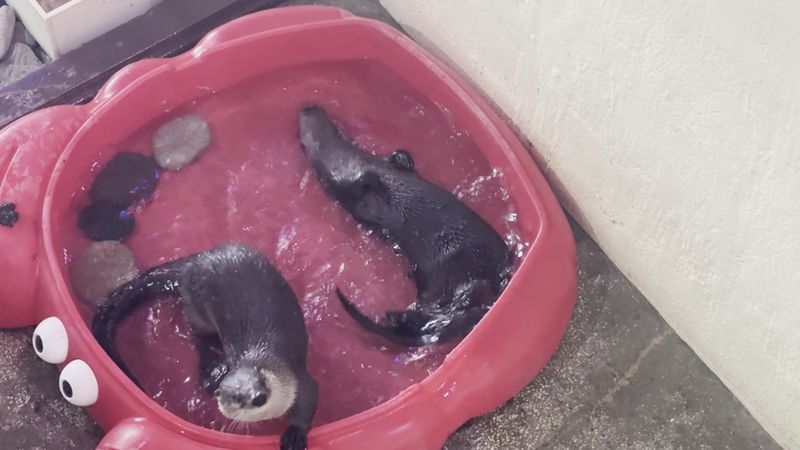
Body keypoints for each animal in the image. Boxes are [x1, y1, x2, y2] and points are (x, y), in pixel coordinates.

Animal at [91, 242, 317, 450]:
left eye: (261, 382)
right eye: (236, 397)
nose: (258, 397)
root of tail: (194, 262)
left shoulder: (297, 378)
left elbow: (309, 399)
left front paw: (295, 435)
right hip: (198, 309)